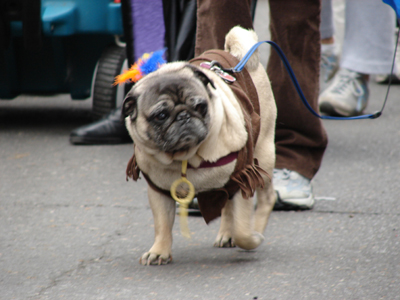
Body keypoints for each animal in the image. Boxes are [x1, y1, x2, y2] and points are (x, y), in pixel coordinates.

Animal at [123, 25, 276, 264]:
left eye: (200, 106)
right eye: (161, 115)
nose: (184, 116)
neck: (186, 157)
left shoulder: (243, 177)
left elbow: (242, 228)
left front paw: (251, 239)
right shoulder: (159, 191)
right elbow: (162, 225)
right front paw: (159, 251)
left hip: (264, 153)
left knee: (266, 198)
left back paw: (257, 230)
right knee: (227, 208)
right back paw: (226, 234)